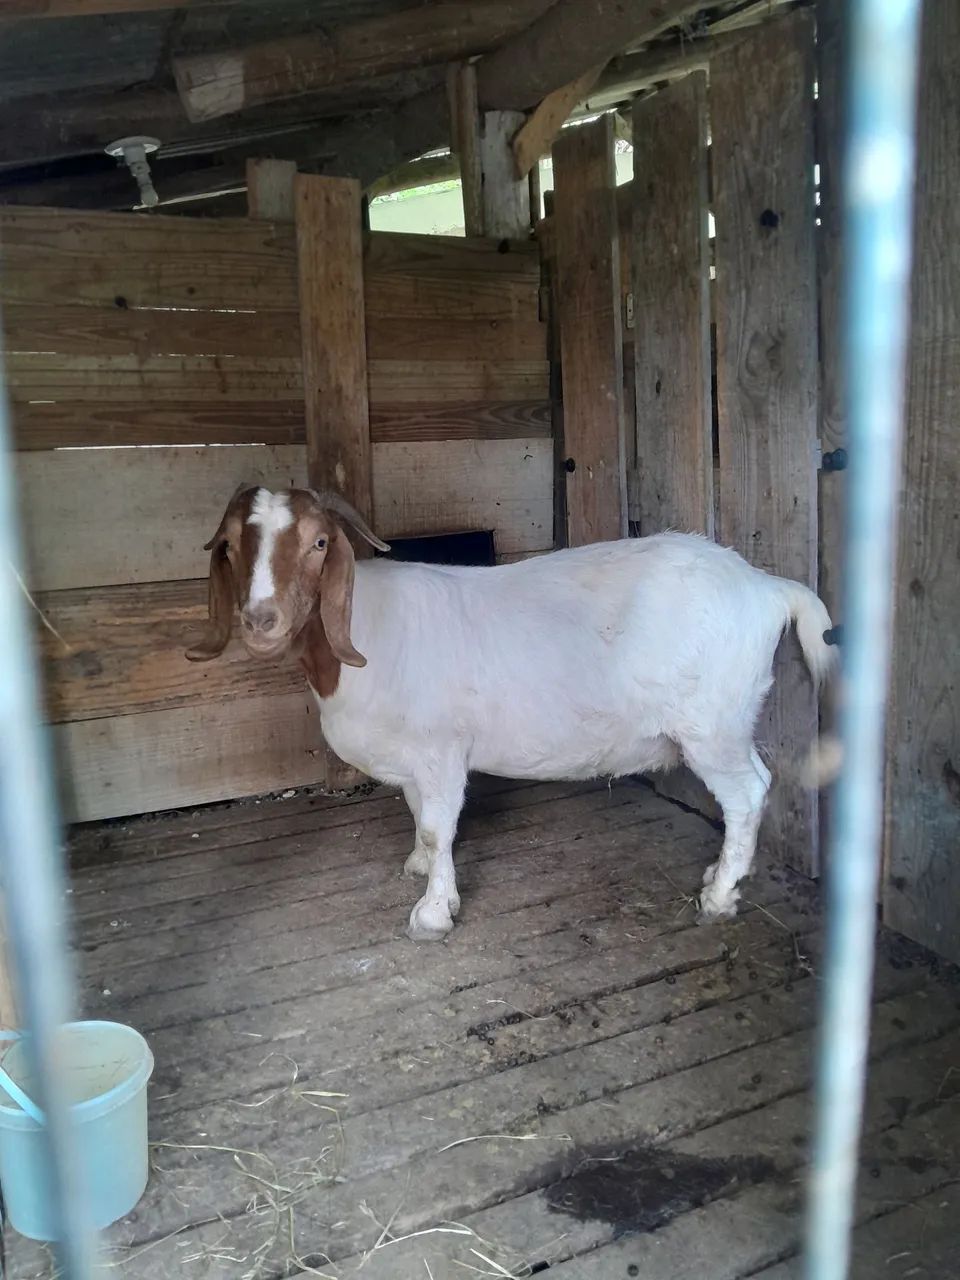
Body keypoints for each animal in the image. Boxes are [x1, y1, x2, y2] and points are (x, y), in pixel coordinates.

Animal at [186, 486, 835, 942]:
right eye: (231, 547)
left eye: (320, 543)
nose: (261, 620)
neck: (365, 633)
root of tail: (766, 586)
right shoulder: (418, 759)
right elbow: (419, 816)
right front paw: (424, 872)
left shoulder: (442, 749)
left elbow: (438, 824)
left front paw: (432, 915)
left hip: (713, 724)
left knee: (748, 792)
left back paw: (720, 896)